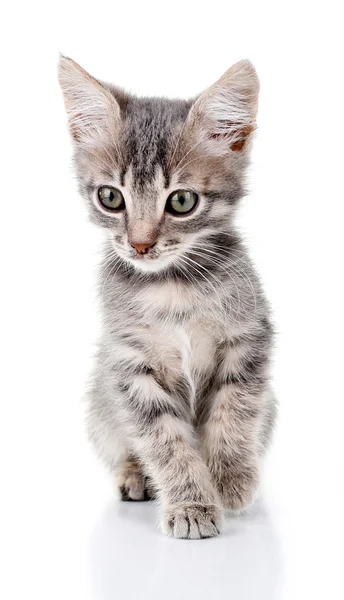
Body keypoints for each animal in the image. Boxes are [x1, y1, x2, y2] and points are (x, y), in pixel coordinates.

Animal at [57, 57, 276, 540]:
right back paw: (135, 475)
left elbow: (234, 410)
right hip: (101, 407)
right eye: (110, 197)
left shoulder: (247, 339)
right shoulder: (129, 364)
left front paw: (231, 478)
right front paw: (191, 503)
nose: (139, 246)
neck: (171, 287)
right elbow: (164, 439)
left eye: (181, 201)